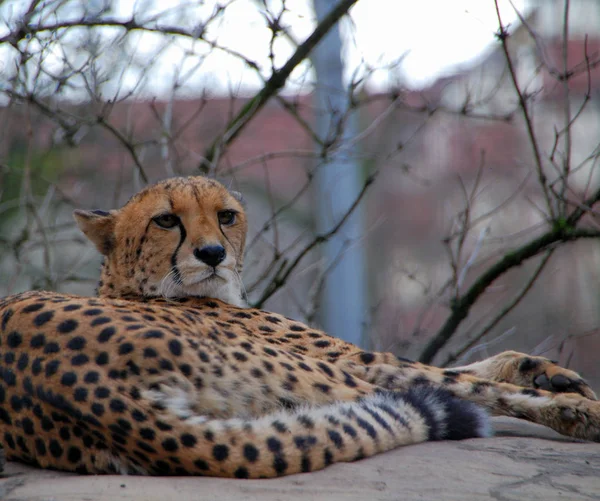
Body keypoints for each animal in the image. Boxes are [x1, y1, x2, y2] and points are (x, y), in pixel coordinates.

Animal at [0, 176, 596, 476]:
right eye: (166, 220)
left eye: (226, 216)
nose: (213, 253)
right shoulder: (353, 359)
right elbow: (458, 377)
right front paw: (567, 396)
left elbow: (470, 366)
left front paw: (547, 371)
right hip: (316, 376)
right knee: (444, 397)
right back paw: (580, 416)